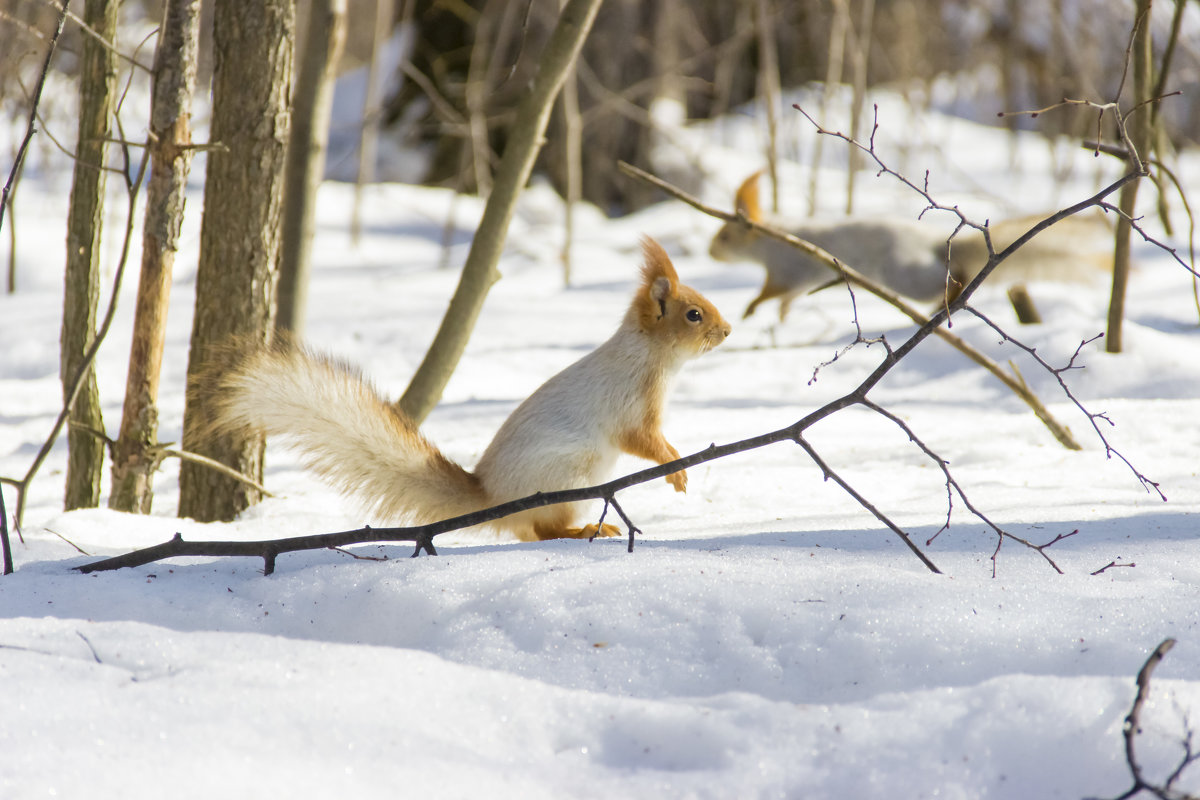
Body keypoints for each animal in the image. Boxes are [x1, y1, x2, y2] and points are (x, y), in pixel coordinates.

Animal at [212, 235, 729, 542]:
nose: (726, 331)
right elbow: (641, 440)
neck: (652, 356)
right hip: (570, 476)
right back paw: (585, 531)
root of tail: (493, 498)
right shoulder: (630, 401)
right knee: (541, 531)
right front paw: (675, 468)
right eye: (693, 314)